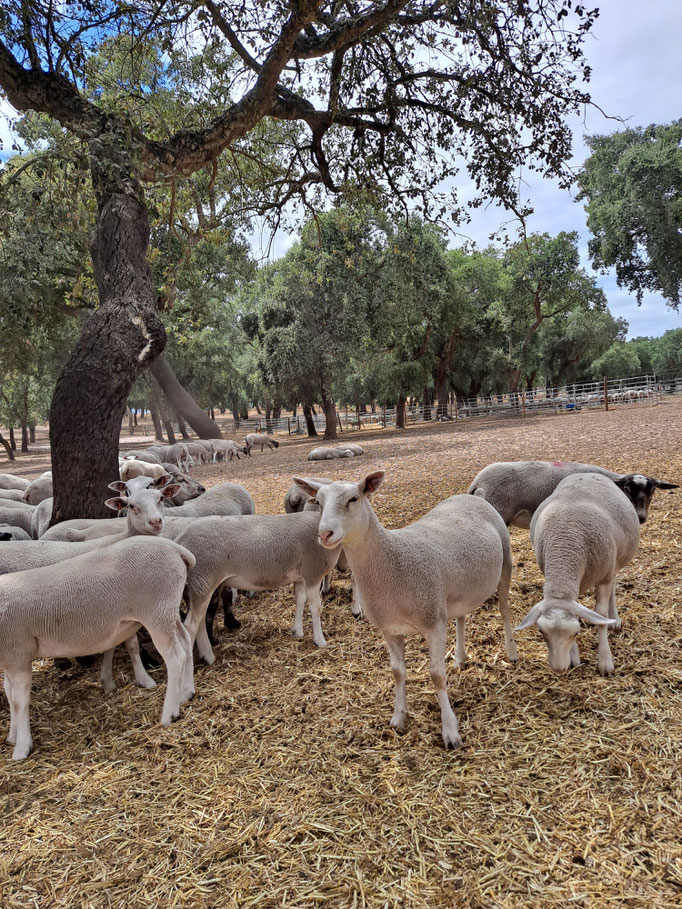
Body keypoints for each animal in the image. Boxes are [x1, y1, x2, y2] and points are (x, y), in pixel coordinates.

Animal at [0, 540, 197, 760]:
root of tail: (176, 550)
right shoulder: (10, 659)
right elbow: (9, 694)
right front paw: (13, 736)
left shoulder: (17, 652)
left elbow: (19, 701)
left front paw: (22, 748)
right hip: (168, 613)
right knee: (186, 640)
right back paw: (186, 692)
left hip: (157, 612)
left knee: (175, 658)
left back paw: (169, 713)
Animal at [294, 472, 516, 748]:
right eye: (319, 502)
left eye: (354, 498)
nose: (325, 534)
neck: (392, 561)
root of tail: (474, 497)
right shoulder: (391, 629)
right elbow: (398, 673)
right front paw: (399, 717)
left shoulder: (433, 622)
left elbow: (436, 675)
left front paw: (450, 731)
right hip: (455, 590)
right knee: (461, 617)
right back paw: (460, 658)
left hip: (505, 562)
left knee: (505, 609)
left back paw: (512, 652)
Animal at [512, 472, 640, 676]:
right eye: (541, 632)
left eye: (576, 633)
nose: (558, 669)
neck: (565, 544)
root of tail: (587, 473)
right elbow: (577, 610)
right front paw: (574, 656)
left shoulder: (604, 577)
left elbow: (600, 615)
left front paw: (605, 661)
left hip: (614, 564)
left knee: (613, 586)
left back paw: (614, 619)